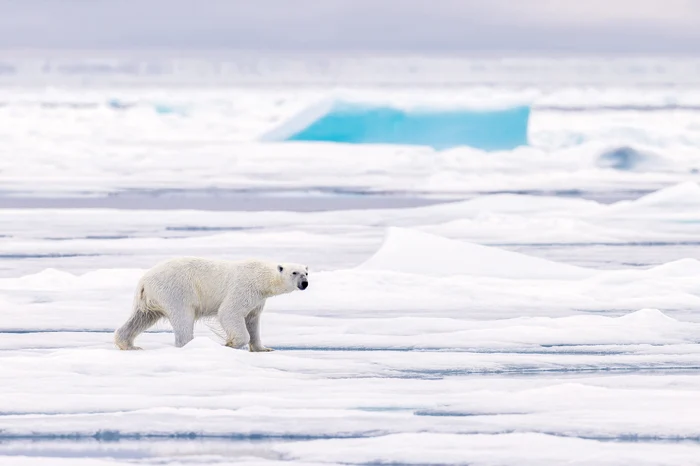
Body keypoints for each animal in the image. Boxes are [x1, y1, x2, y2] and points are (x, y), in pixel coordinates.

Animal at [114, 256, 306, 352]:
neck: (262, 278)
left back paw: (129, 345)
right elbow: (229, 312)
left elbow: (253, 321)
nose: (304, 283)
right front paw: (229, 344)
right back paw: (190, 344)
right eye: (294, 273)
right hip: (176, 291)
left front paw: (264, 348)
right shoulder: (245, 288)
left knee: (141, 317)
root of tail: (144, 281)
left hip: (150, 298)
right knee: (183, 318)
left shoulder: (258, 300)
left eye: (306, 272)